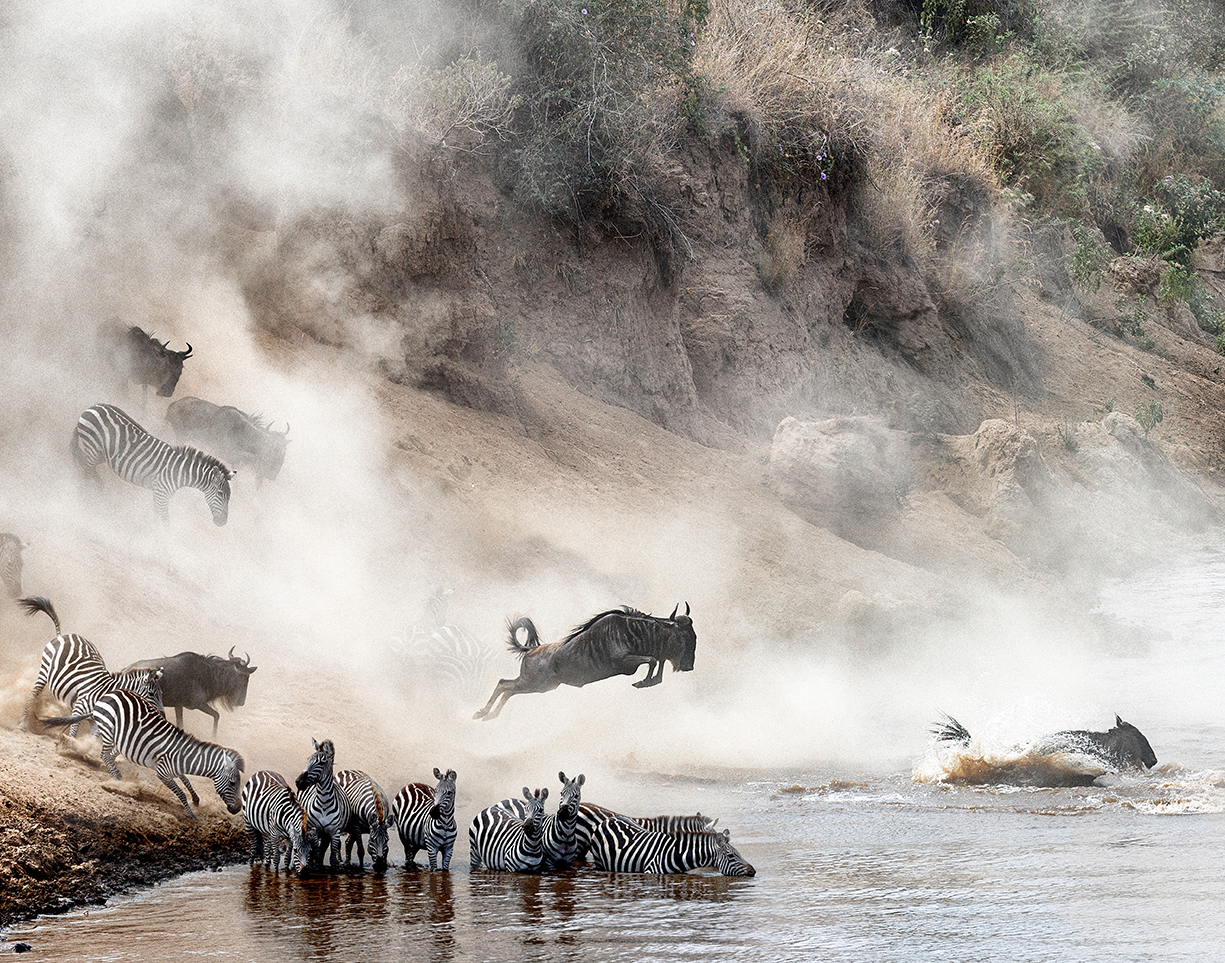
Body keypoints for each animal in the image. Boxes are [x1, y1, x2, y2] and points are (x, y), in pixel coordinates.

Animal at [17, 592, 165, 735]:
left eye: (161, 694)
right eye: (151, 694)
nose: (163, 715)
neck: (105, 692)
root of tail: (63, 635)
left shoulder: (95, 719)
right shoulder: (79, 708)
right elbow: (73, 730)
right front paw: (67, 741)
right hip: (44, 670)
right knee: (32, 695)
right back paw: (22, 724)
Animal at [41, 686, 241, 813]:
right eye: (232, 783)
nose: (238, 809)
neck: (185, 756)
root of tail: (103, 698)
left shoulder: (173, 767)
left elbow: (186, 780)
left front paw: (196, 799)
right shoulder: (163, 772)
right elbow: (180, 792)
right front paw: (191, 813)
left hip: (122, 741)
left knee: (110, 756)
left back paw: (117, 778)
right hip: (110, 732)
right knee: (104, 755)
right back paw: (119, 781)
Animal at [70, 399, 235, 524]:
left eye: (228, 497)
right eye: (220, 494)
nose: (222, 523)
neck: (181, 471)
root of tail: (95, 406)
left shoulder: (158, 493)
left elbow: (156, 517)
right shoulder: (162, 493)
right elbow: (165, 521)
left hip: (101, 453)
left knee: (86, 465)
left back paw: (97, 487)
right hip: (93, 447)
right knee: (86, 471)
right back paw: (85, 497)